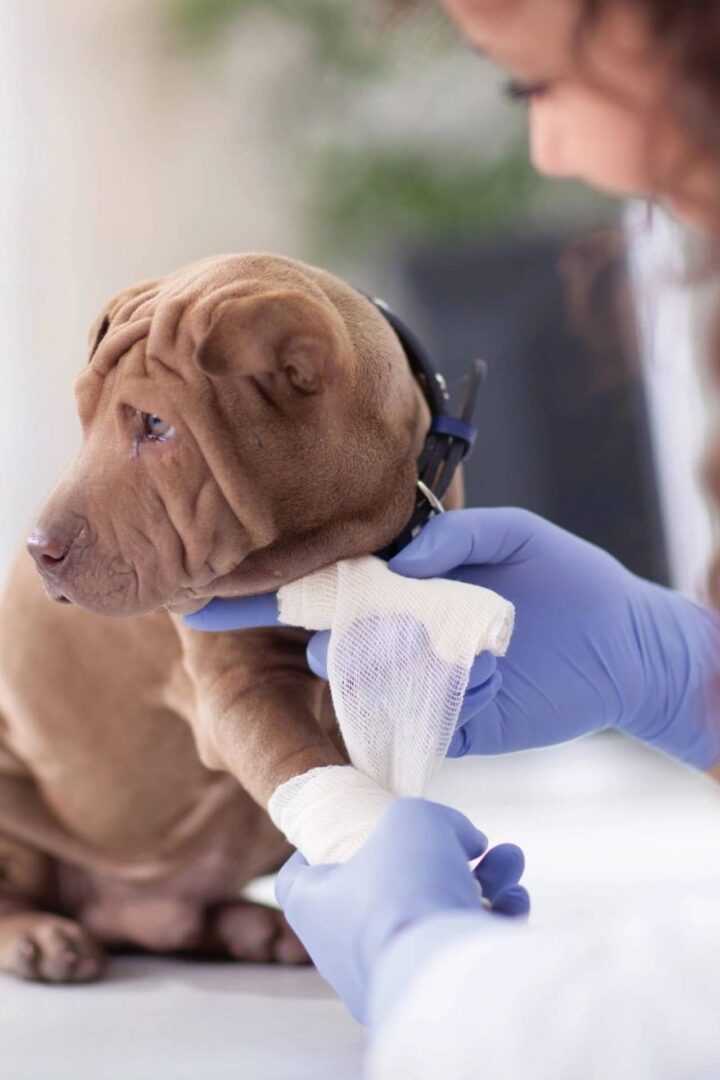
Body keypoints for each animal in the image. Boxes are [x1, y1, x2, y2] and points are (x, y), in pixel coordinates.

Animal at [0, 250, 455, 980]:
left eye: (156, 425)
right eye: (83, 418)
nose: (40, 551)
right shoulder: (240, 686)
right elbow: (300, 760)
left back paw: (260, 928)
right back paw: (39, 936)